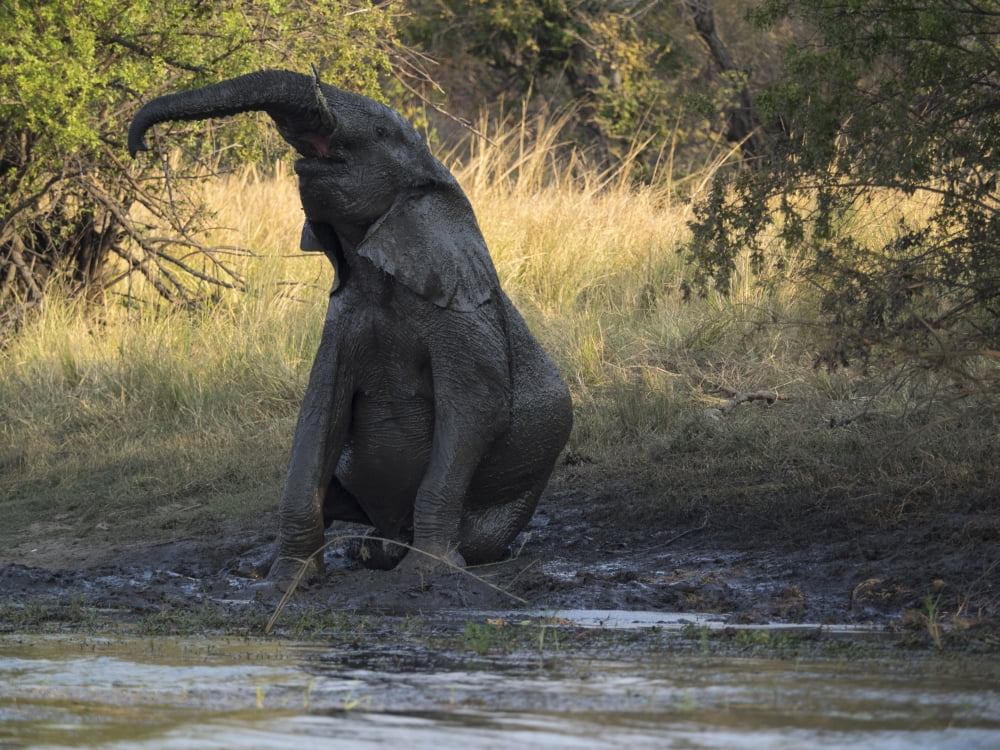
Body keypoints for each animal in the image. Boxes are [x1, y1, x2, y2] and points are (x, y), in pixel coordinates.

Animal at [128, 69, 573, 586]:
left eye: (379, 133)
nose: (138, 148)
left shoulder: (464, 315)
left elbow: (474, 410)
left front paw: (425, 573)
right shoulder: (342, 318)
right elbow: (319, 414)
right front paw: (289, 578)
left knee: (477, 532)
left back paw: (389, 553)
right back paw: (294, 560)